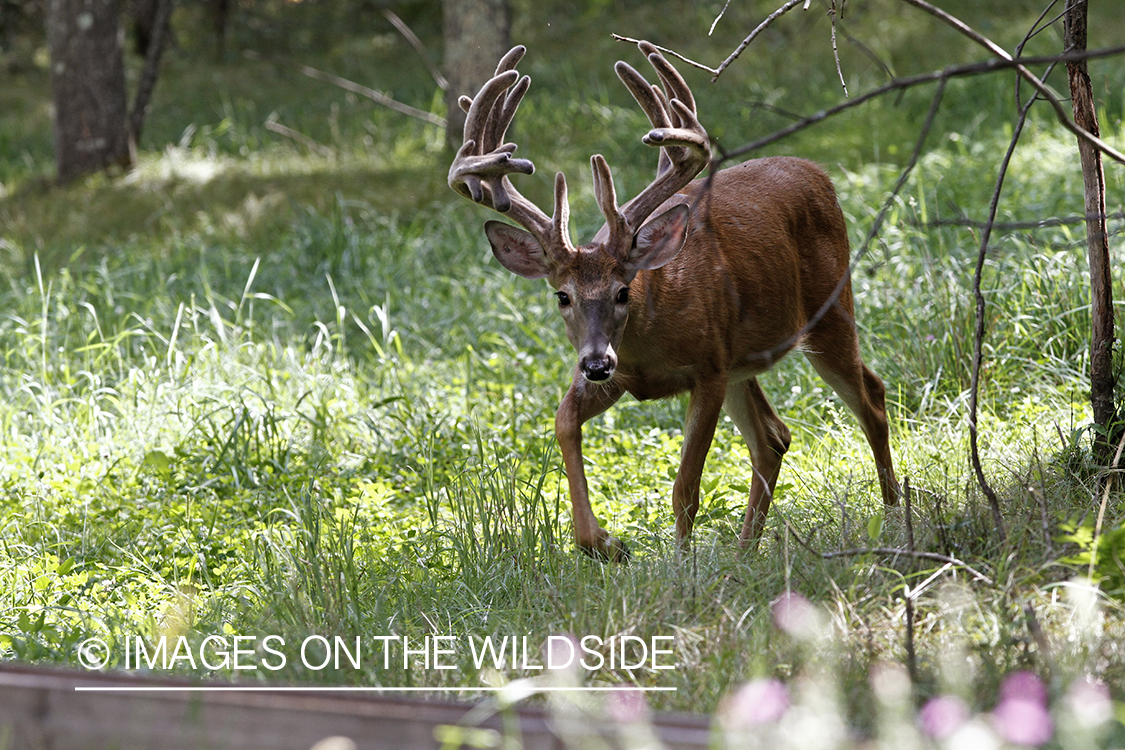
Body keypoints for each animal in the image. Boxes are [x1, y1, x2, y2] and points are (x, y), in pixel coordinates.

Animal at [447, 39, 895, 557]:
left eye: (623, 291)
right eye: (562, 296)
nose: (595, 363)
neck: (648, 343)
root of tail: (818, 172)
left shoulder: (708, 368)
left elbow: (685, 487)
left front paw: (681, 565)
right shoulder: (629, 378)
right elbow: (563, 422)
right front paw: (605, 544)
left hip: (830, 310)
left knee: (871, 398)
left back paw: (892, 516)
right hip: (744, 358)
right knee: (774, 437)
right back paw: (745, 552)